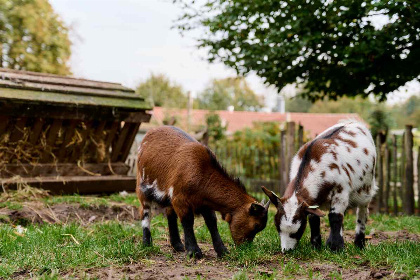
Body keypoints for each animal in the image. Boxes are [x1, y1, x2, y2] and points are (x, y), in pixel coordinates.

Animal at [138, 126, 270, 258]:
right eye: (256, 225)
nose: (246, 248)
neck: (202, 172)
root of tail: (151, 132)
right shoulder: (180, 199)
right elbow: (188, 221)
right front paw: (194, 251)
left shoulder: (205, 202)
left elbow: (212, 222)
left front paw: (222, 250)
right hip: (142, 187)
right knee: (146, 213)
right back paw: (147, 243)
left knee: (170, 214)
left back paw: (178, 245)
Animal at [262, 121, 378, 253]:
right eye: (278, 228)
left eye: (298, 230)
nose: (286, 250)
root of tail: (355, 122)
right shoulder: (313, 199)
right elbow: (314, 218)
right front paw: (316, 245)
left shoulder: (341, 192)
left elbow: (335, 217)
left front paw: (336, 247)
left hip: (366, 189)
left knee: (362, 213)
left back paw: (359, 244)